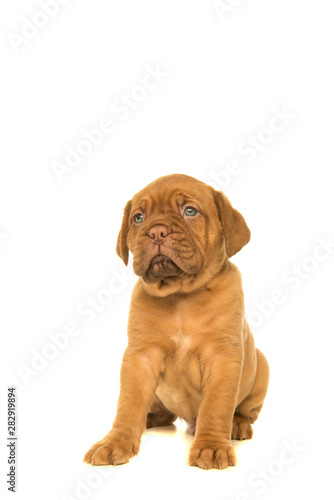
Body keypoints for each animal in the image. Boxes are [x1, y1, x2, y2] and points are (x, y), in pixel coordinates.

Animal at [83, 175, 268, 468]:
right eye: (138, 217)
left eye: (190, 211)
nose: (156, 231)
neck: (180, 295)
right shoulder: (140, 358)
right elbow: (128, 404)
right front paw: (115, 442)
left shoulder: (223, 359)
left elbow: (216, 406)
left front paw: (212, 447)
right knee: (163, 413)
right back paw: (150, 418)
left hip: (262, 368)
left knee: (245, 410)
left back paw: (237, 425)